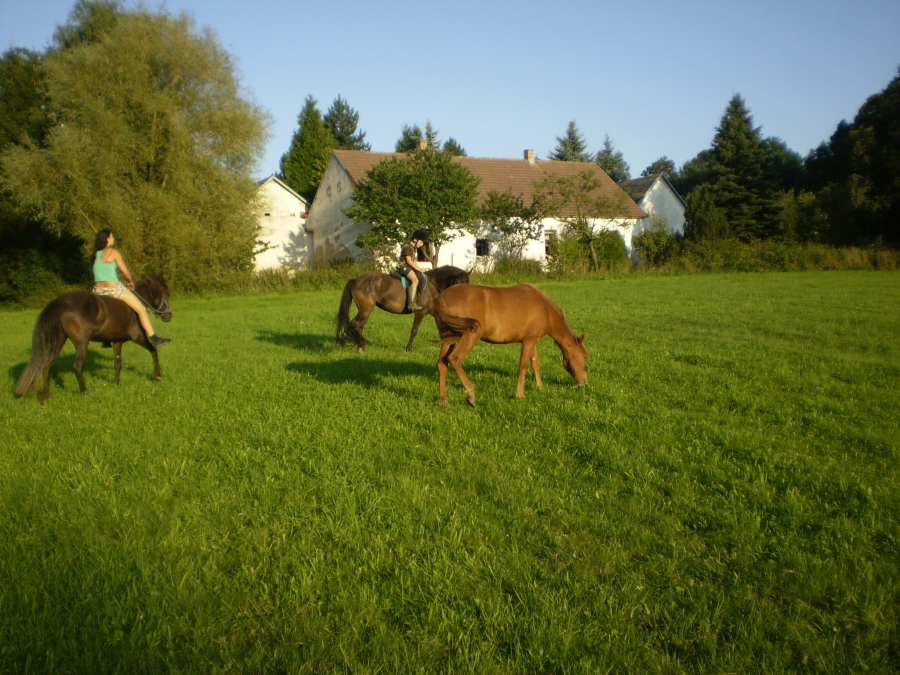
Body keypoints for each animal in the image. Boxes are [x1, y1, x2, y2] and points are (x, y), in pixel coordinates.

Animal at [13, 276, 173, 403]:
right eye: (164, 294)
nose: (168, 316)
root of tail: (59, 301)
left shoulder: (117, 342)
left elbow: (118, 363)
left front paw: (117, 383)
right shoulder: (138, 336)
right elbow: (153, 349)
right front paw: (157, 375)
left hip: (57, 342)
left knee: (48, 365)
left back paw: (46, 397)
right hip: (82, 344)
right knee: (77, 366)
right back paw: (84, 391)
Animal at [335, 265, 470, 353]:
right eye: (458, 282)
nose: (464, 299)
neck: (433, 286)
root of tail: (356, 280)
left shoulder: (436, 313)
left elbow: (444, 331)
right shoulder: (420, 312)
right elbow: (414, 330)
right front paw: (409, 348)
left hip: (366, 310)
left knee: (358, 325)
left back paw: (359, 346)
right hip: (366, 309)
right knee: (355, 324)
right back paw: (360, 346)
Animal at [432, 283, 589, 407]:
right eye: (585, 357)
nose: (584, 382)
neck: (545, 309)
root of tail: (442, 298)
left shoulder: (532, 341)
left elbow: (535, 364)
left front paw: (540, 388)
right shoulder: (528, 341)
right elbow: (523, 366)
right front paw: (520, 394)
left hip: (448, 339)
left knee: (442, 365)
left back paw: (444, 401)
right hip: (469, 336)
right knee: (455, 359)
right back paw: (471, 395)